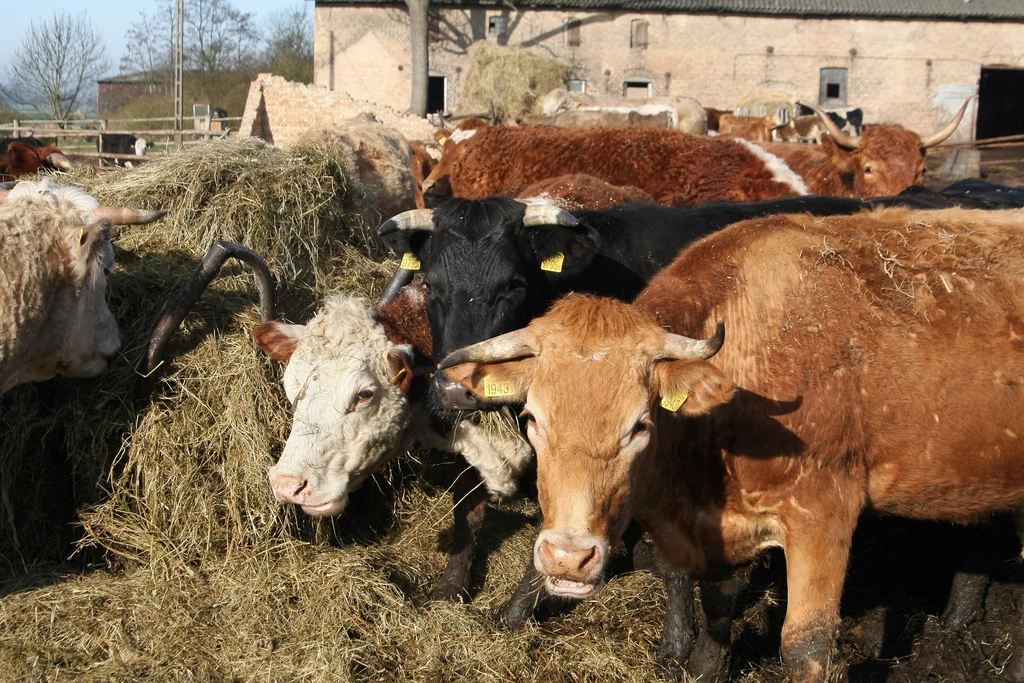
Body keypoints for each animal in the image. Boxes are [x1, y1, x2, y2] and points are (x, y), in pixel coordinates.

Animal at [442, 206, 1024, 683]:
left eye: (640, 425)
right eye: (532, 418)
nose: (567, 557)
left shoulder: (824, 514)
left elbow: (807, 645)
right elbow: (718, 606)